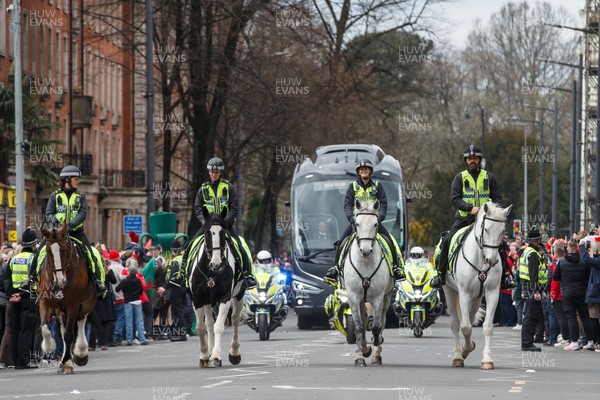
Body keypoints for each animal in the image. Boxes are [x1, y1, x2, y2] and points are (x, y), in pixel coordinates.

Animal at [37, 223, 97, 374]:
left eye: (64, 249)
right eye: (48, 251)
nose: (60, 280)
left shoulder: (73, 304)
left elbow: (69, 334)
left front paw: (68, 362)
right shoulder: (44, 301)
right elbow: (45, 328)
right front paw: (49, 347)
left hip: (86, 304)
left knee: (80, 322)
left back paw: (80, 353)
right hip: (60, 310)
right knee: (63, 329)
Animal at [188, 209, 244, 368]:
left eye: (223, 232)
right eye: (207, 232)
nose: (216, 264)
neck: (211, 272)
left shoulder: (225, 297)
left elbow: (219, 326)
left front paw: (217, 355)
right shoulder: (198, 299)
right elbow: (201, 328)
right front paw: (205, 355)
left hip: (239, 295)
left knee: (235, 320)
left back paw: (234, 353)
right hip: (208, 302)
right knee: (209, 324)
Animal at [344, 198, 396, 368]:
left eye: (375, 224)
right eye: (357, 223)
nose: (365, 250)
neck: (365, 262)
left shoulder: (378, 297)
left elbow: (377, 326)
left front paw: (376, 343)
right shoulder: (353, 297)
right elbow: (359, 327)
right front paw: (361, 355)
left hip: (386, 297)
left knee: (382, 321)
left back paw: (376, 354)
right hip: (361, 299)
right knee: (363, 320)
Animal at [442, 202, 512, 370]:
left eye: (502, 231)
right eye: (486, 229)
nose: (491, 260)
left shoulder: (492, 293)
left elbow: (487, 326)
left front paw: (486, 360)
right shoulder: (464, 293)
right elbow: (465, 327)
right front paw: (465, 350)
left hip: (476, 298)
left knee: (471, 317)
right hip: (450, 292)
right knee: (455, 323)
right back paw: (458, 356)